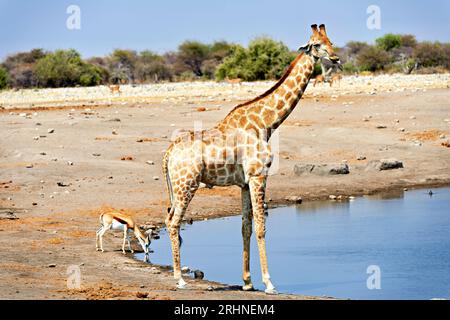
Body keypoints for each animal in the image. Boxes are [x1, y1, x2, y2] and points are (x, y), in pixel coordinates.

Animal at [162, 24, 342, 296]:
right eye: (317, 45)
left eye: (330, 41)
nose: (336, 57)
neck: (266, 124)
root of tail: (168, 153)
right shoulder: (259, 175)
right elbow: (261, 227)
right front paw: (269, 283)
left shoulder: (245, 182)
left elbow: (245, 226)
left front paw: (247, 281)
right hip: (187, 184)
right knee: (174, 222)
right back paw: (179, 279)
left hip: (178, 187)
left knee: (168, 218)